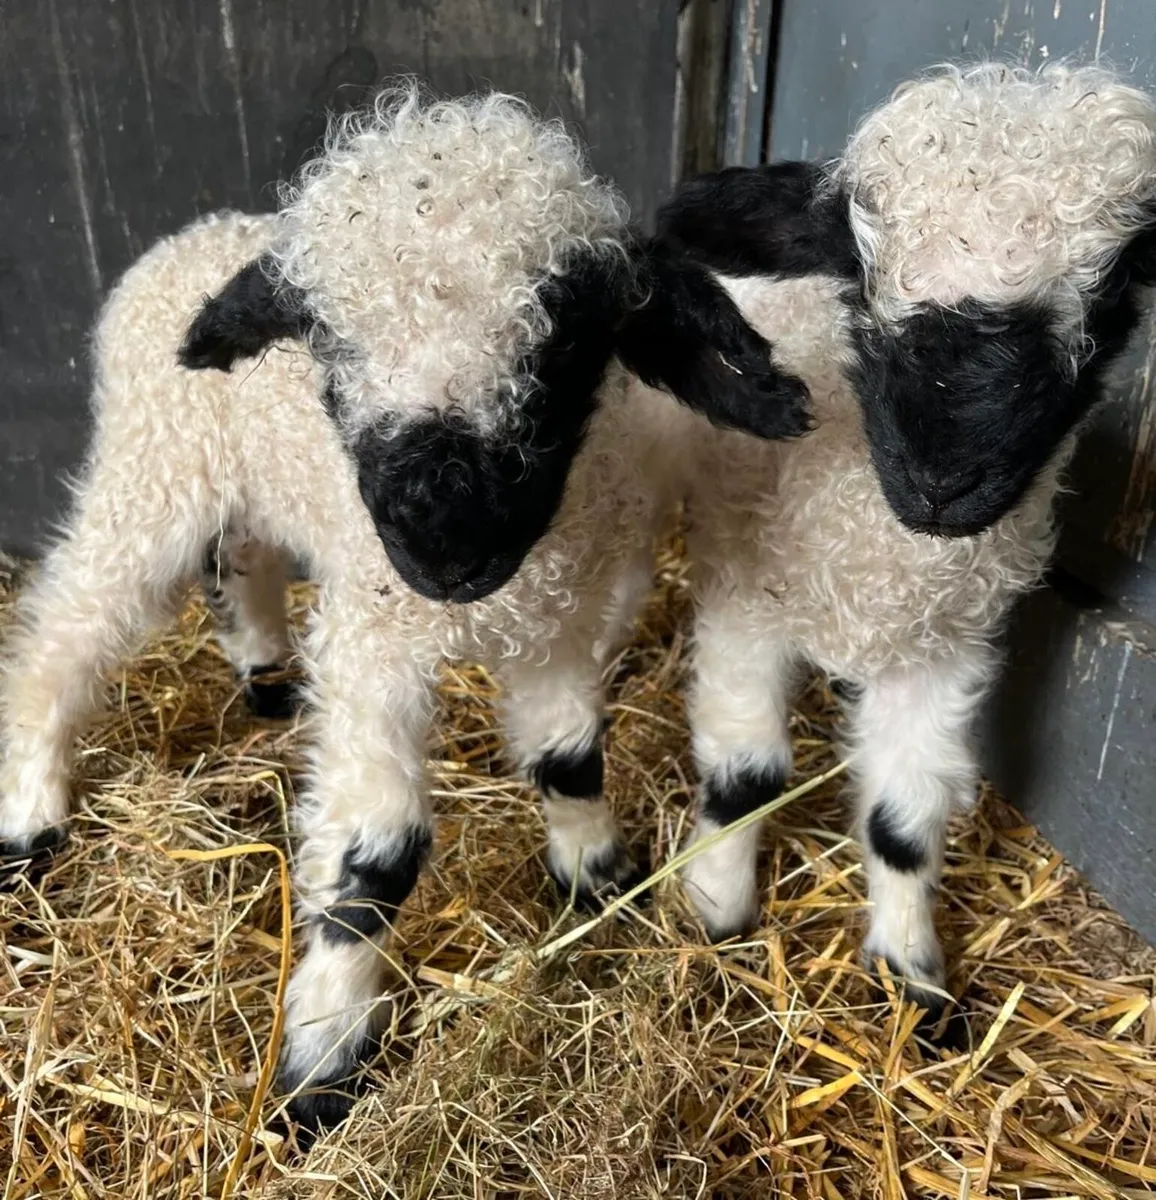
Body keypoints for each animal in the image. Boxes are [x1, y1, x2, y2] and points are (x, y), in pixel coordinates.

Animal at [0, 87, 810, 1130]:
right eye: (330, 349)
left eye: (564, 340)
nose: (444, 542)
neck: (499, 590)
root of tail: (188, 238)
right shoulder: (373, 646)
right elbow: (375, 862)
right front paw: (322, 1062)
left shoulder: (552, 625)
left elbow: (568, 760)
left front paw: (597, 881)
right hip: (155, 472)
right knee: (64, 627)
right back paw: (30, 809)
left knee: (239, 561)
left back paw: (266, 677)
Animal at [651, 62, 1156, 1021]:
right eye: (855, 275)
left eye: (1112, 305)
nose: (939, 483)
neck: (882, 553)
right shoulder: (747, 602)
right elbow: (745, 780)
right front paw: (716, 914)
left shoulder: (945, 649)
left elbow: (904, 818)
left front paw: (912, 974)